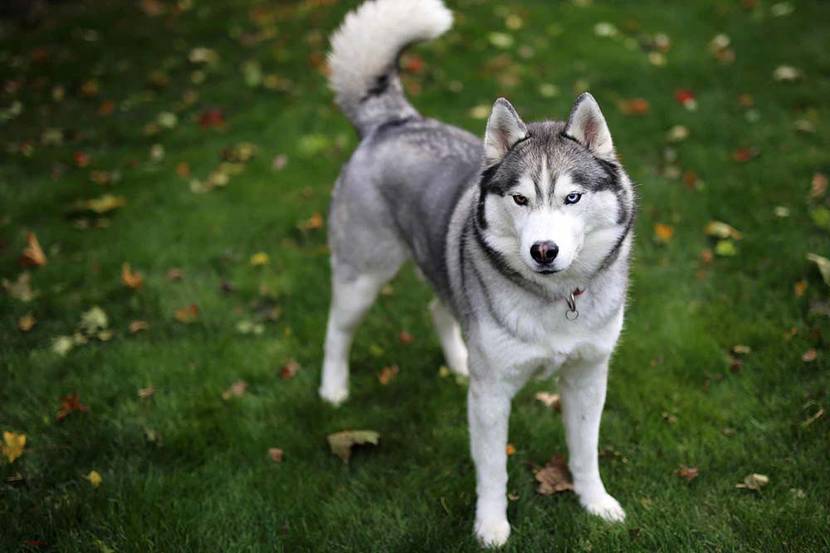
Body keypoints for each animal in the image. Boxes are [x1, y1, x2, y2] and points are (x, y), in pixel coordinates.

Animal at [318, 0, 636, 544]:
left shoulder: (588, 376)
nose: (543, 250)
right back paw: (333, 388)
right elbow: (492, 469)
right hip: (362, 275)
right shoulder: (491, 397)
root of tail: (396, 122)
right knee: (338, 329)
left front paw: (595, 503)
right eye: (520, 199)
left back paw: (458, 361)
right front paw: (491, 525)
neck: (552, 300)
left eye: (572, 197)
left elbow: (585, 451)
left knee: (438, 307)